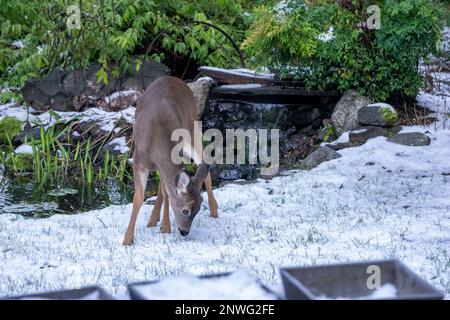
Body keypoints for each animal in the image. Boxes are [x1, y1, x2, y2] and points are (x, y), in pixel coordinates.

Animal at [123, 75, 218, 245]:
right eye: (185, 210)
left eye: (198, 210)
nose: (185, 232)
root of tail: (174, 78)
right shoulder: (138, 160)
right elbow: (139, 197)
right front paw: (127, 239)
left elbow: (166, 191)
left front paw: (166, 227)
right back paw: (153, 220)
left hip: (192, 129)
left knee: (203, 162)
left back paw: (214, 210)